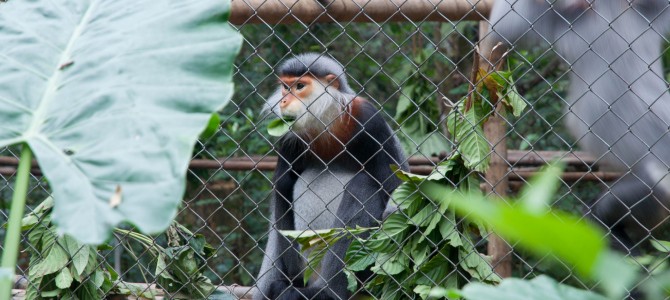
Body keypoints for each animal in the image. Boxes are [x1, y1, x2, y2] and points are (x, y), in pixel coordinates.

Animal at [253, 52, 406, 298]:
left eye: (299, 86)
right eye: (285, 87)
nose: (284, 101)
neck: (326, 122)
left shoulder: (370, 120)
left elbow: (394, 185)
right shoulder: (289, 139)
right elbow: (282, 189)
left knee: (364, 182)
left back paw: (328, 292)